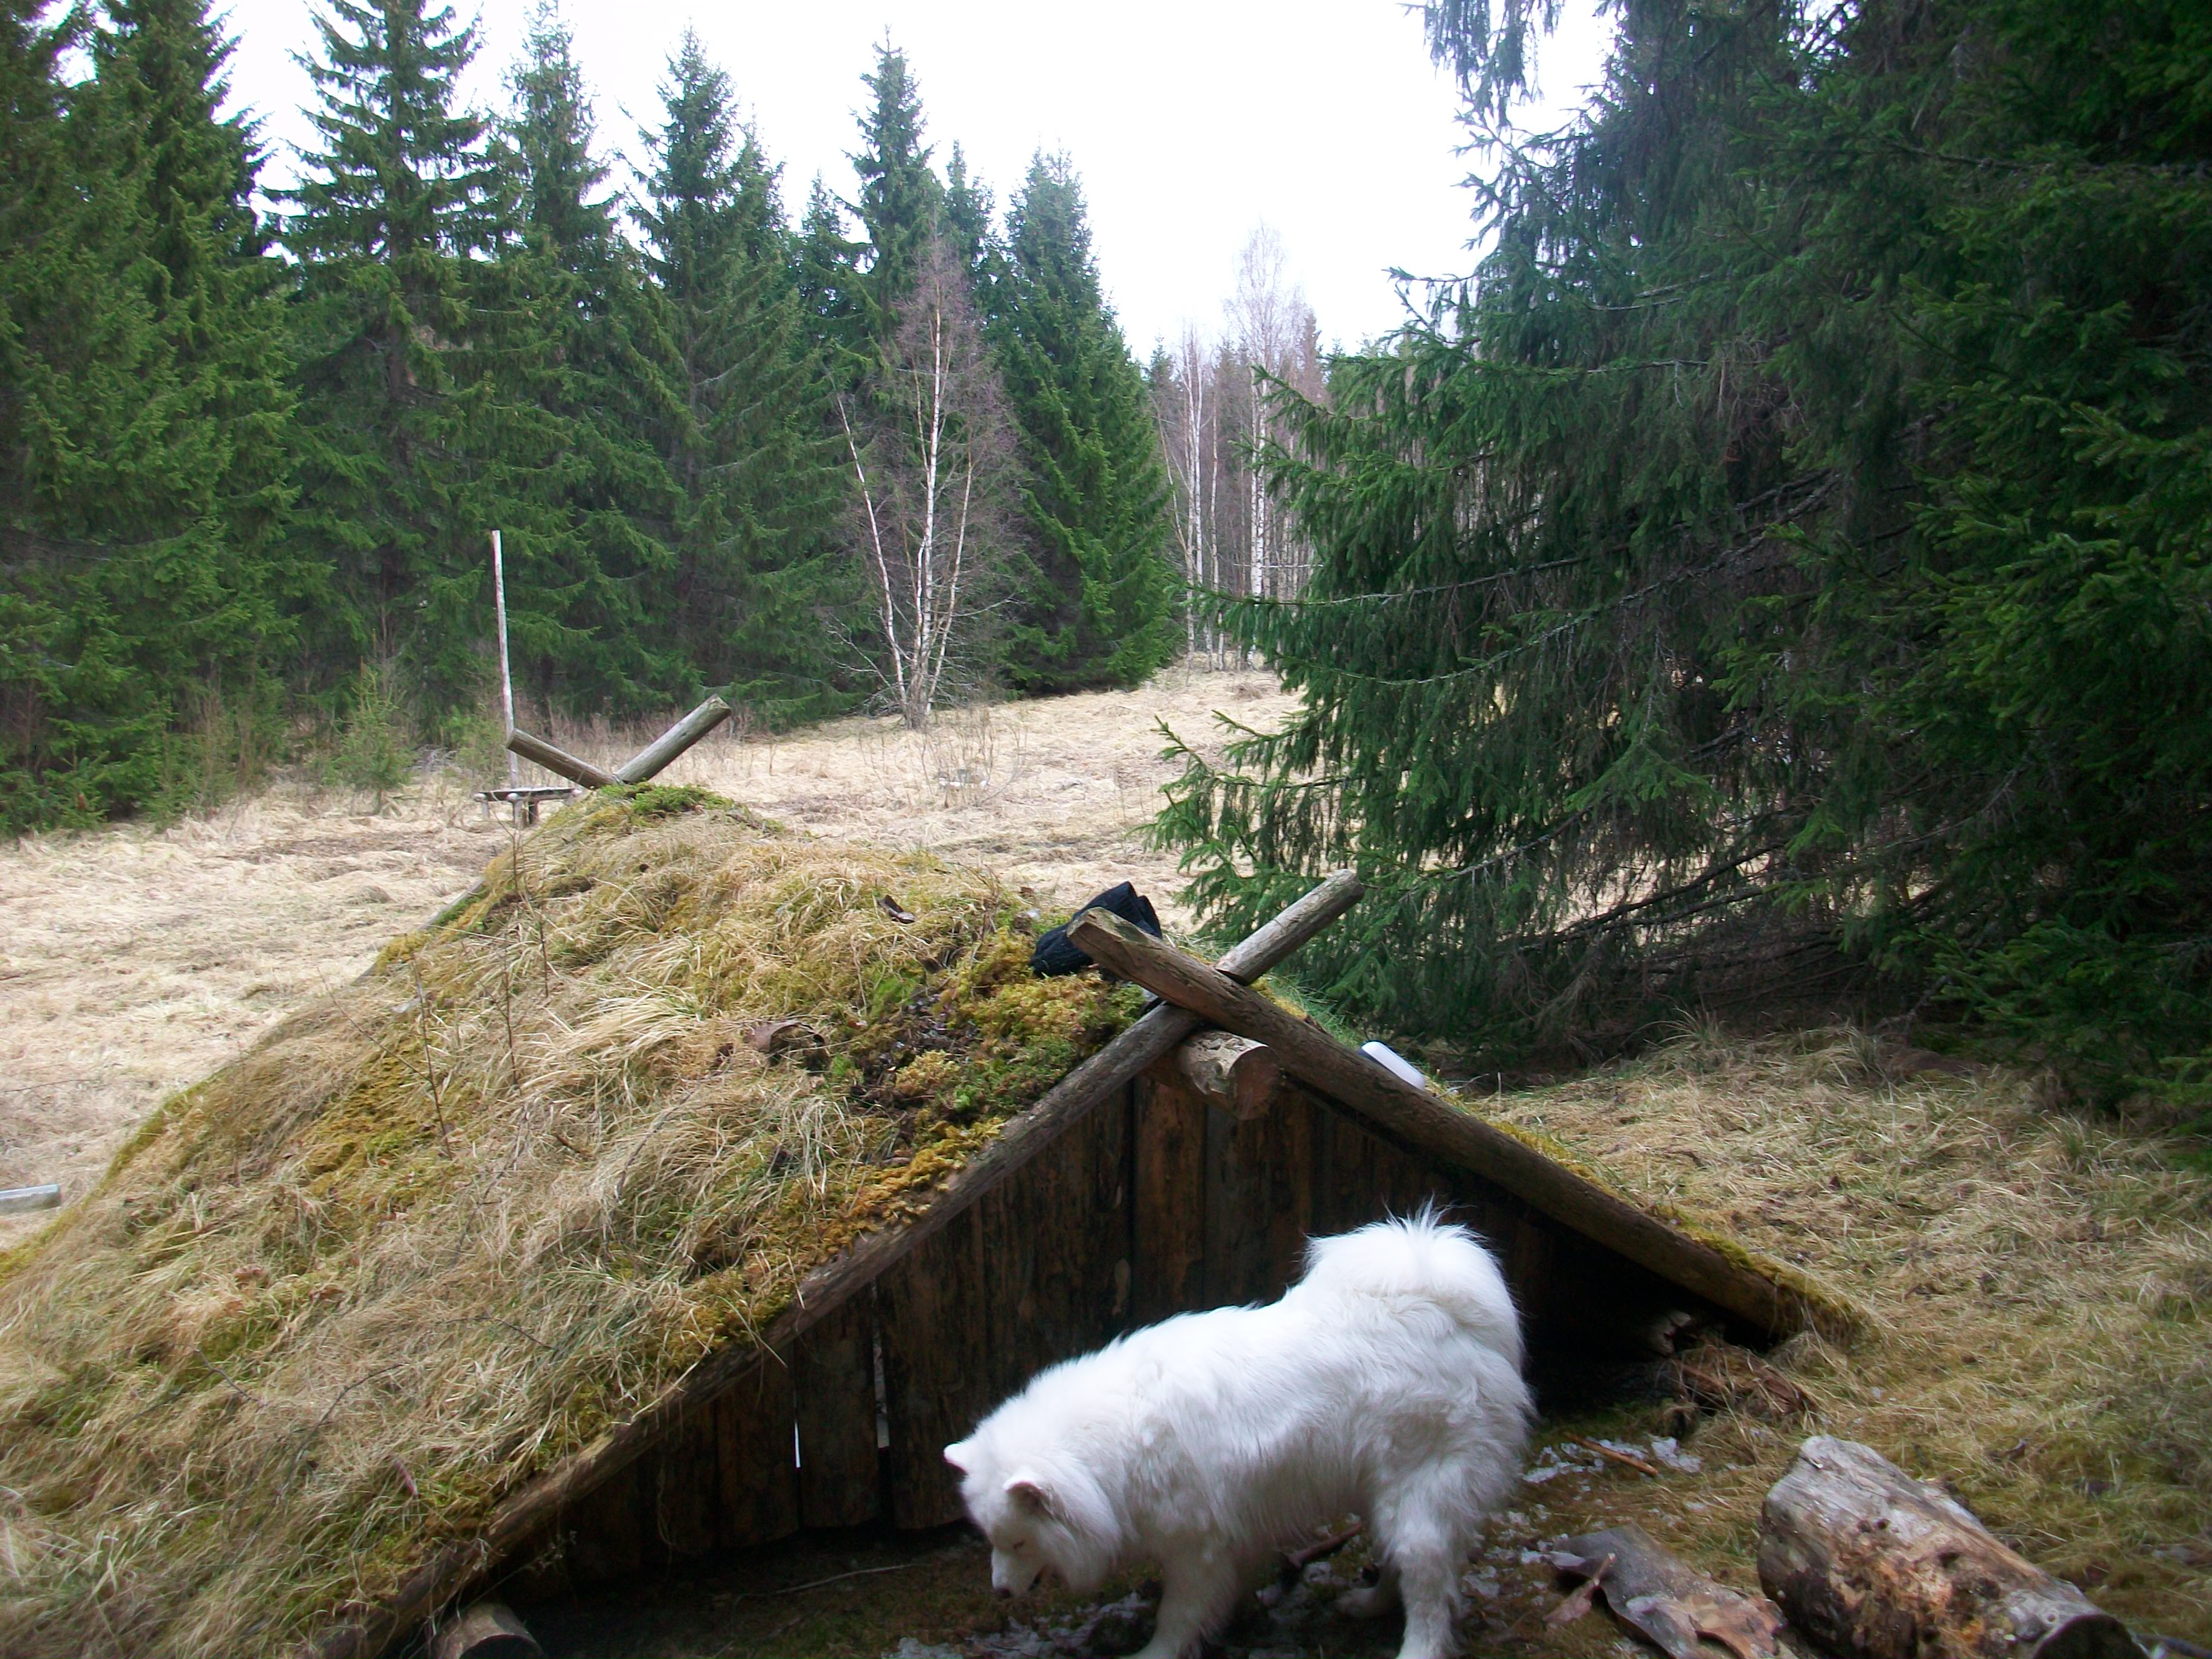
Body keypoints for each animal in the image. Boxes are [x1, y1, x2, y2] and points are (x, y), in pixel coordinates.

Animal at [944, 1213, 1532, 1659]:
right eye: (994, 1541)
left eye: (1020, 1542)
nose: (1000, 1593)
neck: (1107, 1449)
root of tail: (1448, 1314)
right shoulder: (1238, 1531)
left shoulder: (1196, 1549)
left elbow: (1178, 1616)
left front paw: (1155, 1654)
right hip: (1381, 1494)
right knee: (1399, 1564)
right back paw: (1367, 1605)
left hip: (1418, 1496)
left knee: (1428, 1586)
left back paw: (1415, 1648)